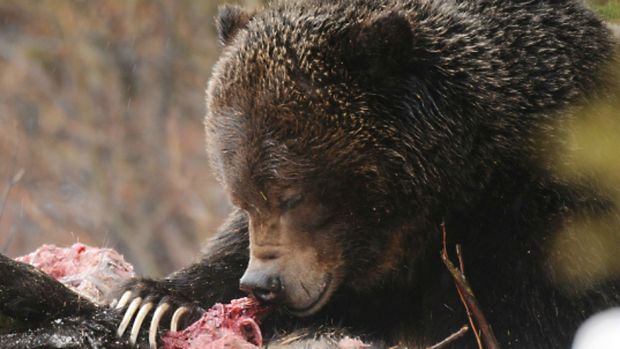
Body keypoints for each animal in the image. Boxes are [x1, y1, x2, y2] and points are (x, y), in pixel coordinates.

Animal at [115, 0, 620, 348]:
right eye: (241, 195)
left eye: (292, 194)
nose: (261, 283)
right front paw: (154, 301)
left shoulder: (541, 226)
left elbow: (523, 319)